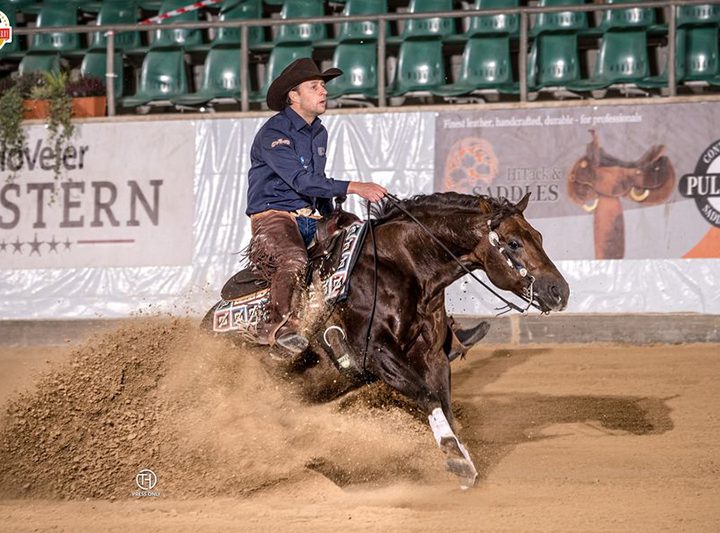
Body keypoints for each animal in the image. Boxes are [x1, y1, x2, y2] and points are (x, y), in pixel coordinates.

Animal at [204, 193, 568, 488]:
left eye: (538, 236)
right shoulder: (375, 354)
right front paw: (456, 458)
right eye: (513, 243)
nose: (560, 291)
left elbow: (444, 403)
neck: (402, 265)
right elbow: (426, 395)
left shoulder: (434, 357)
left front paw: (462, 455)